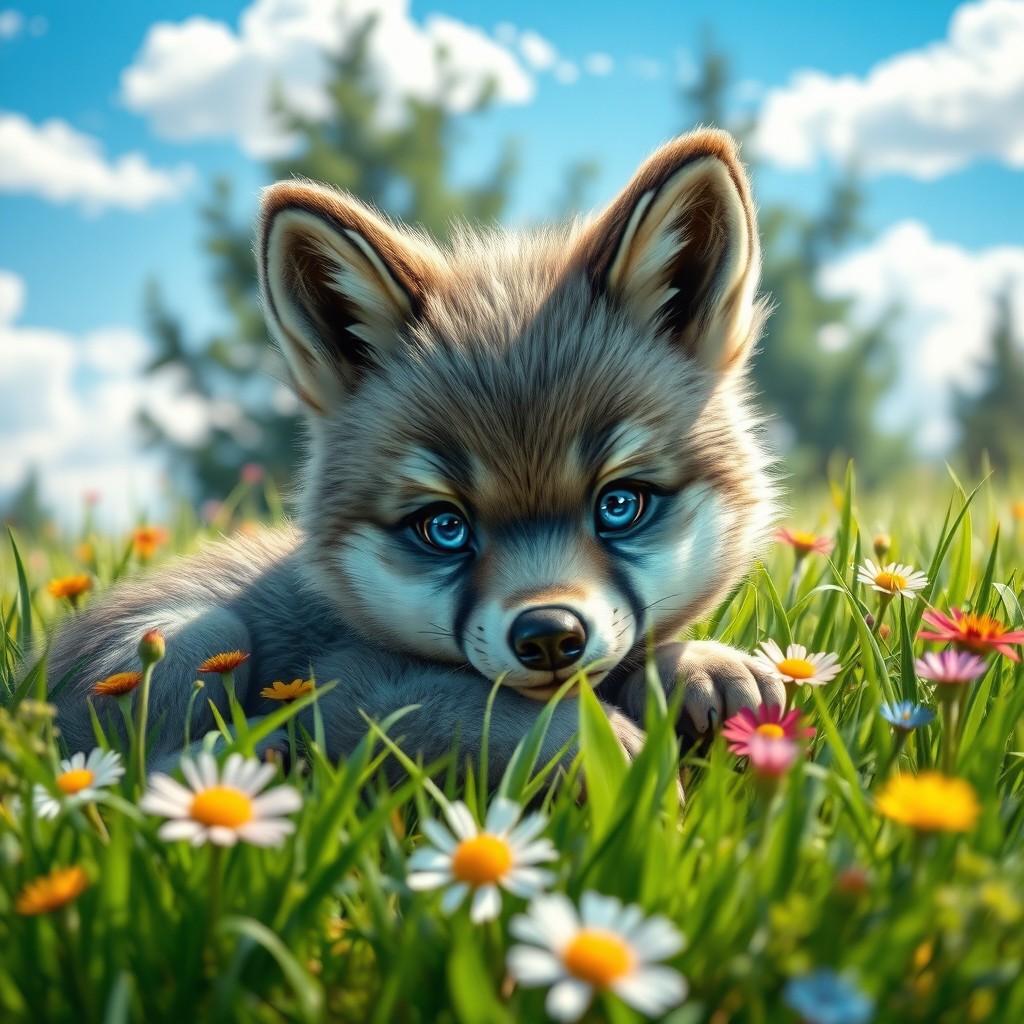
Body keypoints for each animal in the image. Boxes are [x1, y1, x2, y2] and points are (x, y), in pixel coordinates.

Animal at [46, 128, 783, 781]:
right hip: (198, 636)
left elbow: (652, 656)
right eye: (443, 527)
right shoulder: (346, 686)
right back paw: (243, 757)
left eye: (620, 505)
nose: (548, 634)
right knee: (126, 774)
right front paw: (603, 749)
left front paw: (708, 666)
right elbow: (482, 711)